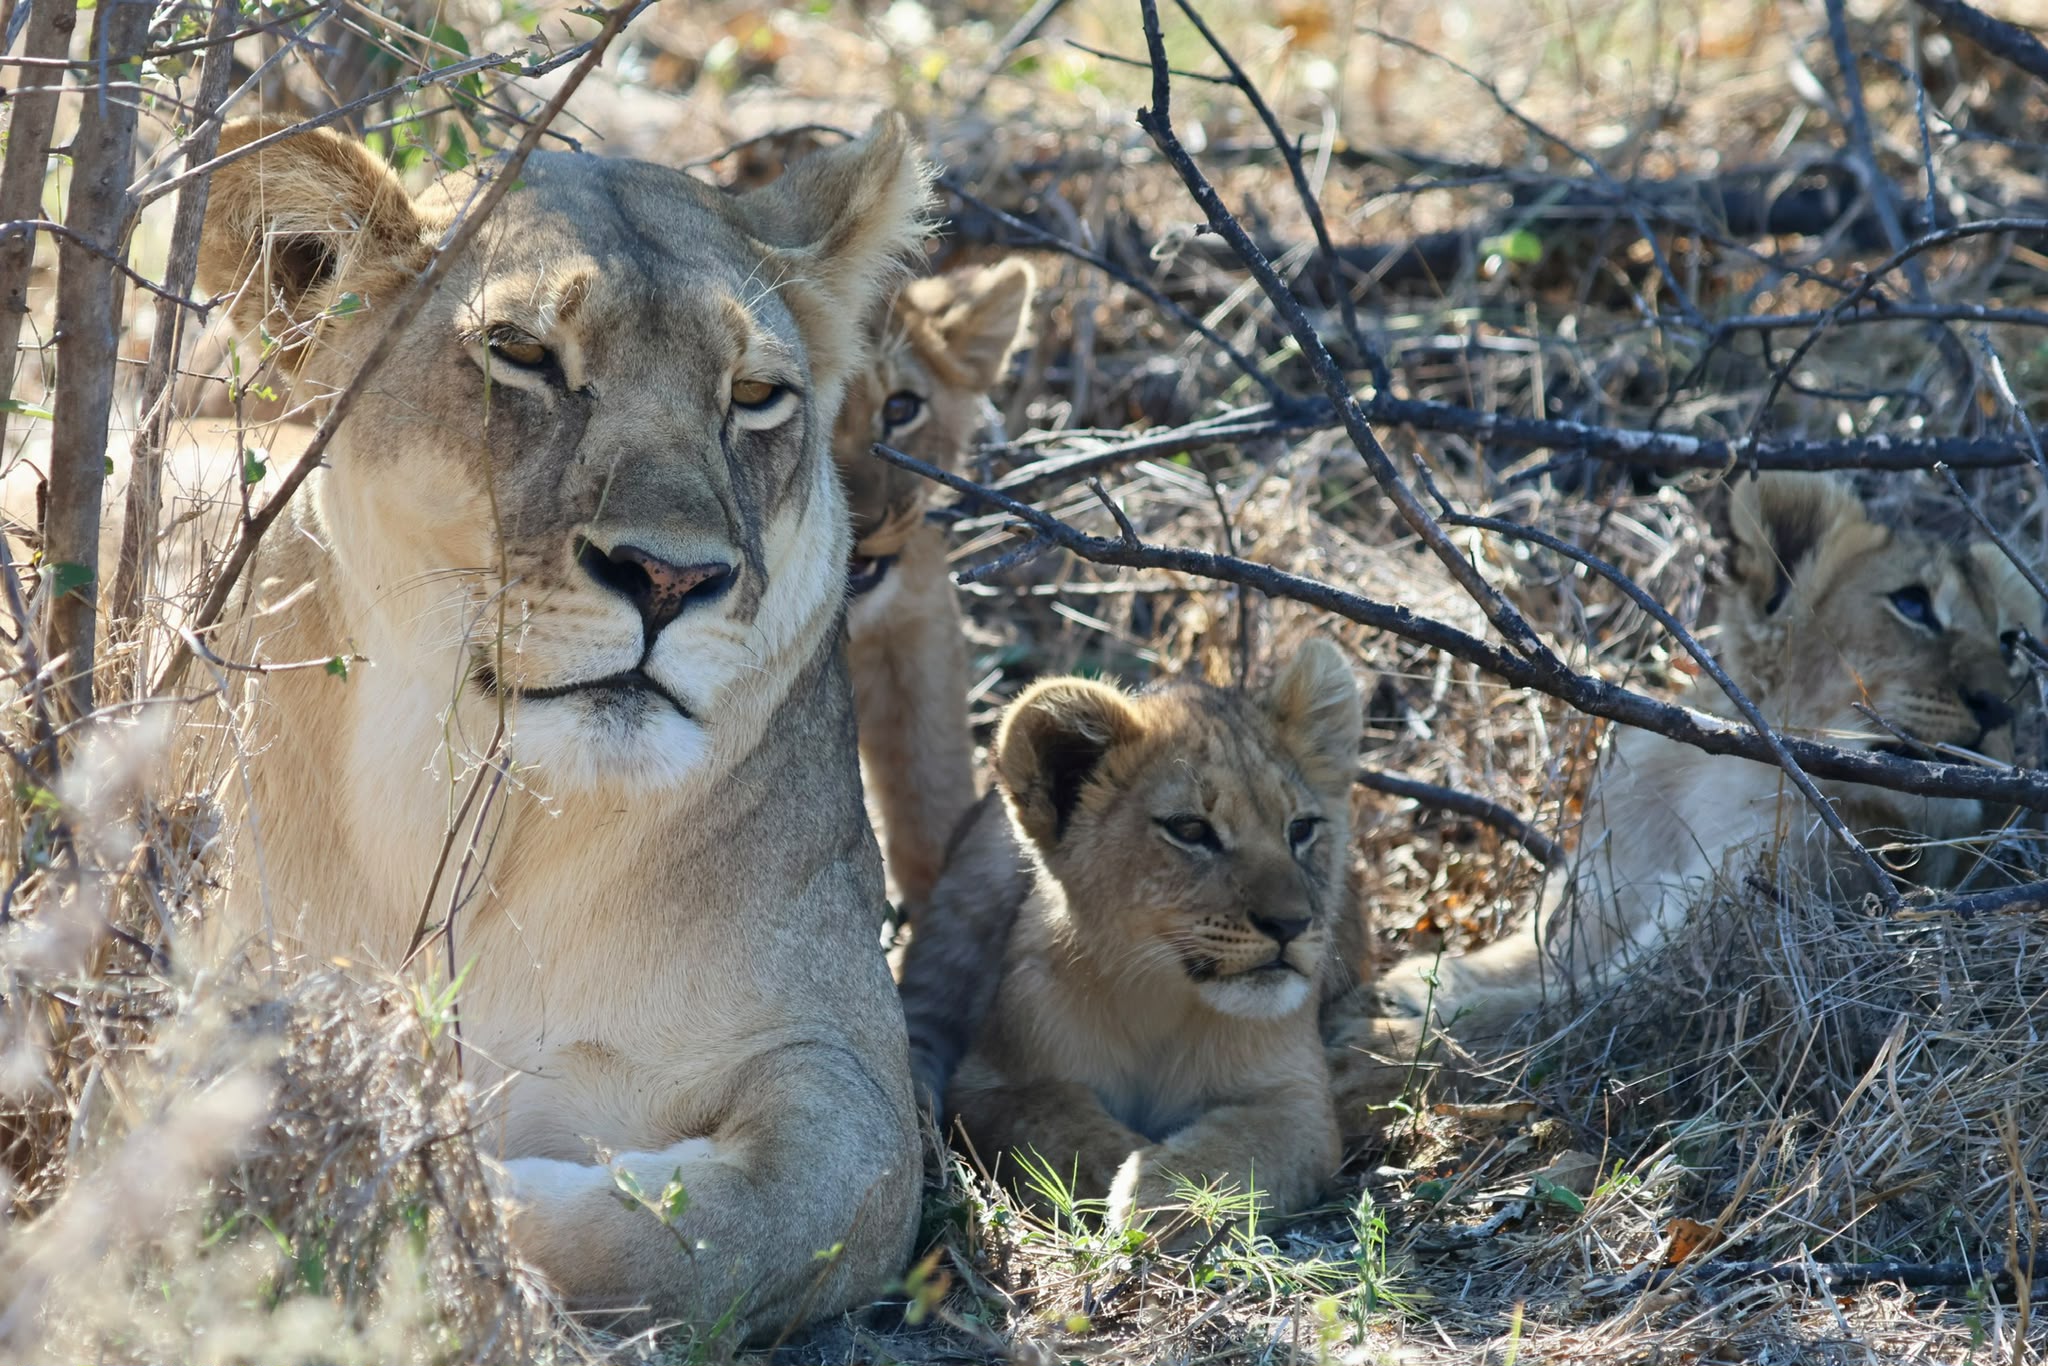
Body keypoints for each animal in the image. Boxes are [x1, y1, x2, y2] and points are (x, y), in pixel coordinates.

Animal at [189, 115, 932, 1342]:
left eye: (757, 394)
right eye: (521, 354)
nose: (669, 576)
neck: (494, 821)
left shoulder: (845, 1054)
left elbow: (770, 1220)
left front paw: (478, 1197)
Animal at [906, 640, 1362, 1233]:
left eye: (1302, 829)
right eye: (1190, 830)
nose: (1292, 924)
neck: (1162, 1001)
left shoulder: (1299, 1101)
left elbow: (1241, 1148)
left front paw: (1164, 1196)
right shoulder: (989, 1084)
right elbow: (1057, 1126)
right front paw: (1116, 1179)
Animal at [1341, 472, 2039, 1116]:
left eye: (2012, 642)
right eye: (1913, 605)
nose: (2000, 708)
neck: (1720, 789)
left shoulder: (1710, 969)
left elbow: (1535, 1024)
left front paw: (1374, 1040)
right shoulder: (1599, 896)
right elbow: (1529, 959)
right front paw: (1423, 976)